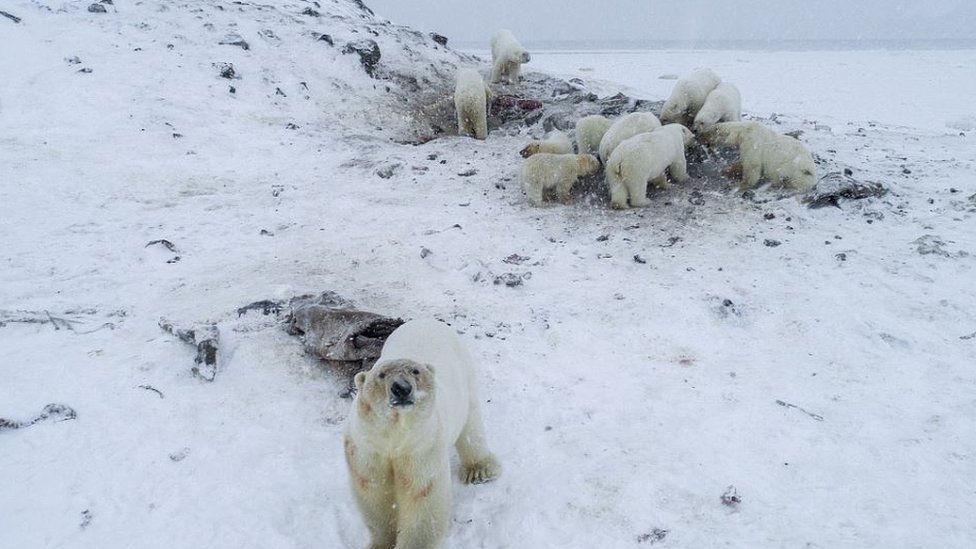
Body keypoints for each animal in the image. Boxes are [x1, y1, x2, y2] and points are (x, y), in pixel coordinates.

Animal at [344, 316, 500, 548]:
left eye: (415, 371)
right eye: (381, 374)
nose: (401, 388)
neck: (394, 436)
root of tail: (426, 320)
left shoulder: (422, 447)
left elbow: (422, 496)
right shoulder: (367, 448)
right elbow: (375, 492)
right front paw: (381, 543)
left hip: (465, 376)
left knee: (471, 424)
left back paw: (479, 470)